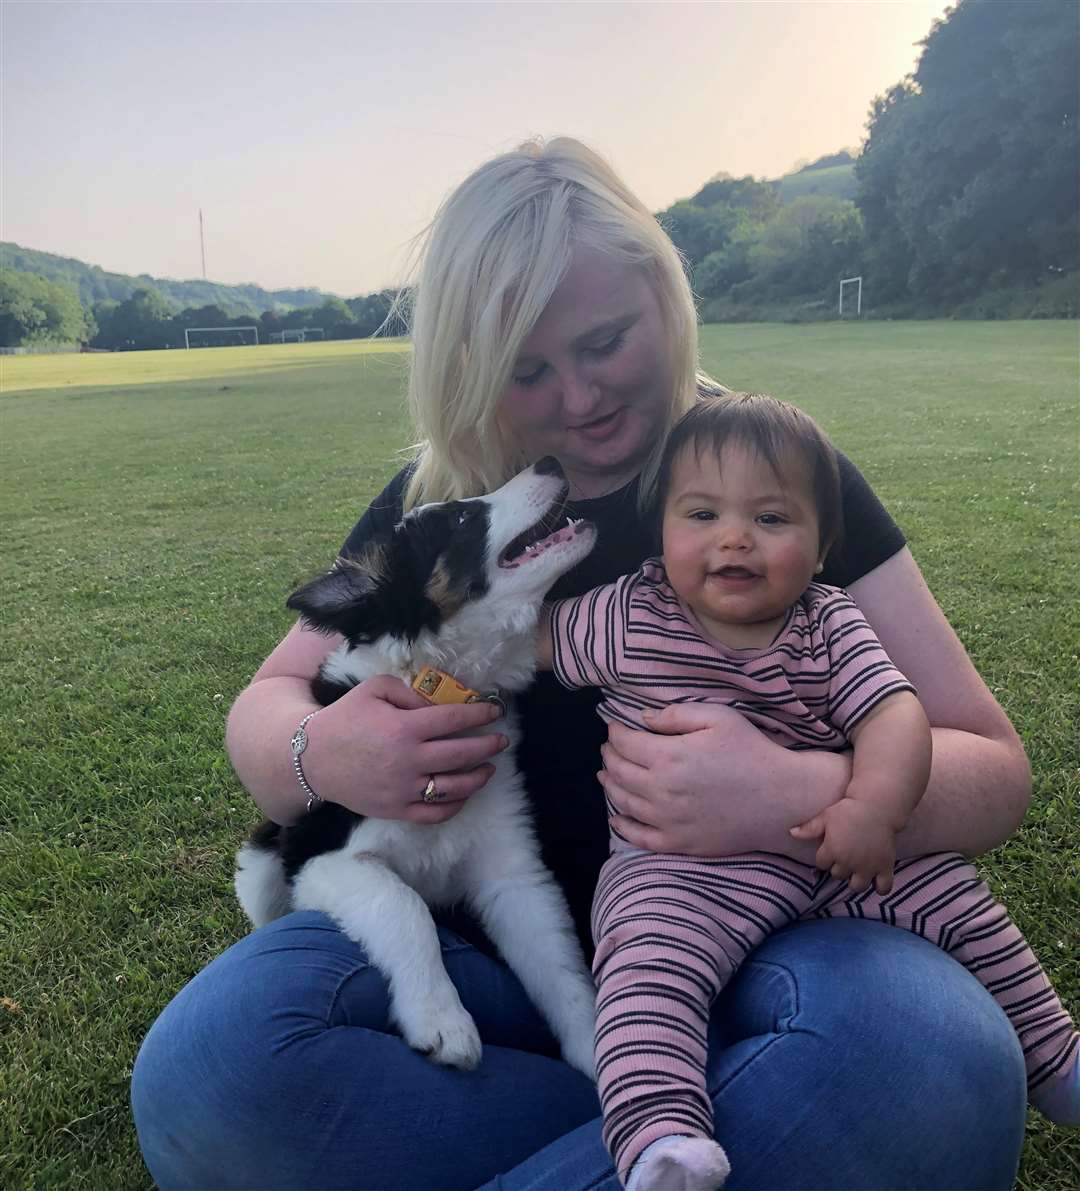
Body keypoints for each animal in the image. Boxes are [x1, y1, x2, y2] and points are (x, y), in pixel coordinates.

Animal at [234, 454, 600, 1081]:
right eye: (462, 518)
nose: (550, 459)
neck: (441, 686)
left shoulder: (512, 871)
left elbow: (559, 963)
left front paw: (603, 1051)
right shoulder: (324, 860)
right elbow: (403, 907)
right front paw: (442, 1021)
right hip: (264, 858)